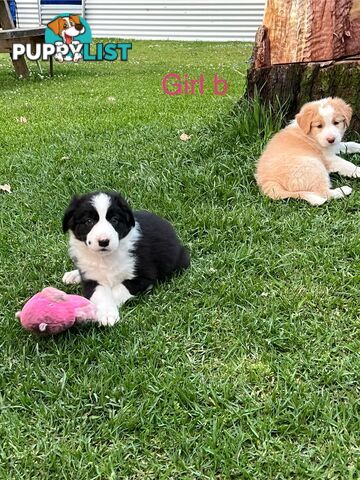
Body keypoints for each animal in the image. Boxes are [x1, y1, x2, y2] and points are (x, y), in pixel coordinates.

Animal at [62, 191, 191, 326]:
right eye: (88, 221)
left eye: (114, 220)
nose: (104, 241)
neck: (106, 258)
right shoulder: (90, 279)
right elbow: (101, 293)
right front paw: (106, 313)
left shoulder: (143, 277)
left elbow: (117, 290)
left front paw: (107, 314)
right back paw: (73, 275)